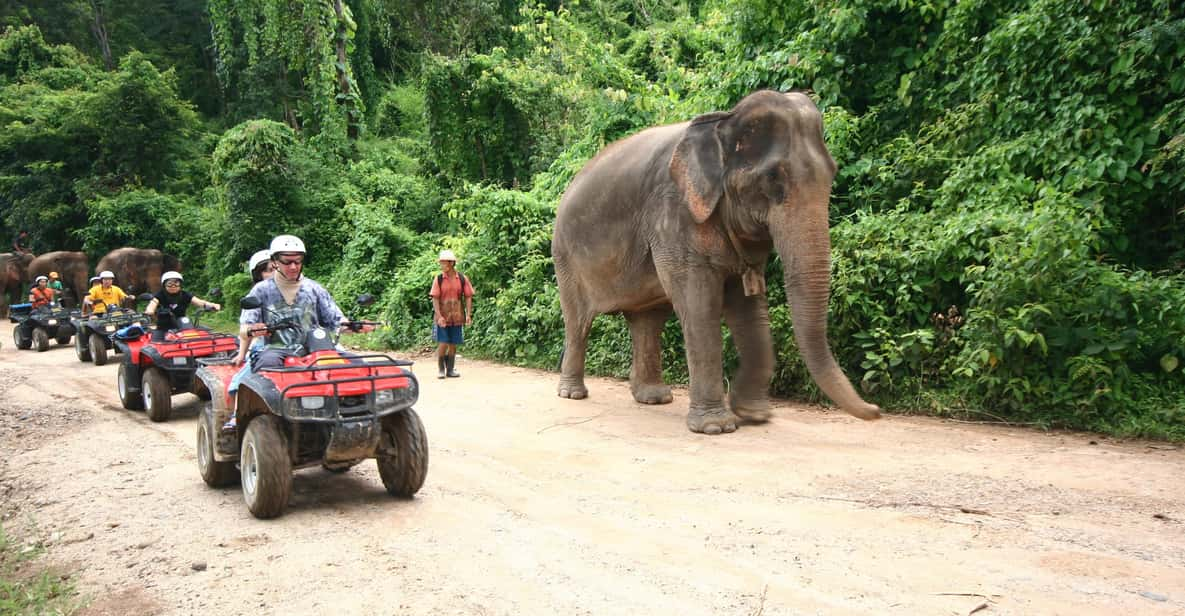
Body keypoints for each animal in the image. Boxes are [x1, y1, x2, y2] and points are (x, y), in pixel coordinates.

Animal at [554, 91, 881, 435]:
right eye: (772, 178)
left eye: (832, 173)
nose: (876, 410)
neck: (722, 122)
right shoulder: (674, 215)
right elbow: (700, 305)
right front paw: (717, 427)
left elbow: (748, 306)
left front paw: (753, 415)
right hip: (566, 258)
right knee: (578, 321)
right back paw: (573, 394)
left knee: (648, 320)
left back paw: (654, 398)